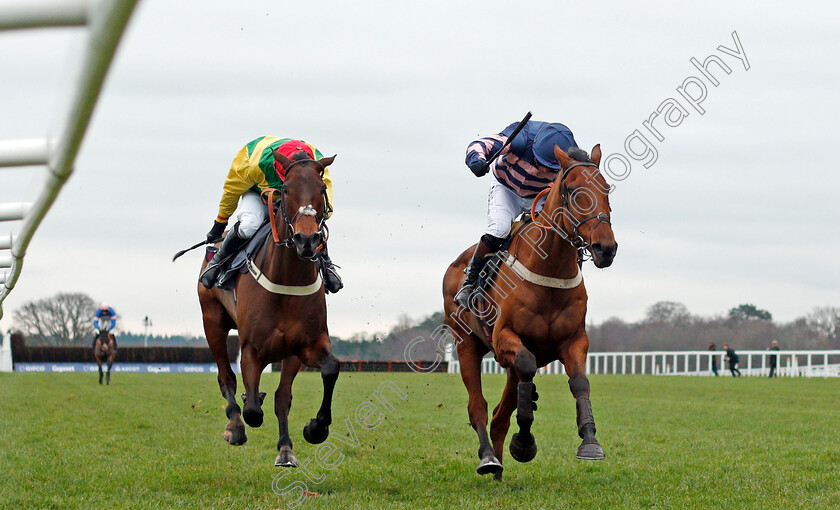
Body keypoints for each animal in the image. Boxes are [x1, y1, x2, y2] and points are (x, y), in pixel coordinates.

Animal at [199, 148, 340, 466]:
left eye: (322, 188)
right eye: (286, 189)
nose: (307, 240)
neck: (287, 281)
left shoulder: (305, 345)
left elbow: (328, 370)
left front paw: (314, 429)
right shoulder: (252, 348)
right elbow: (252, 408)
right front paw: (245, 414)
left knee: (280, 395)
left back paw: (285, 447)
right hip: (212, 319)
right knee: (226, 378)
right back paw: (234, 426)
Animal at [446, 143, 616, 478]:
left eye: (606, 188)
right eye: (573, 189)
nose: (606, 248)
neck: (549, 269)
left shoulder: (574, 340)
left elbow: (580, 383)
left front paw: (590, 441)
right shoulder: (505, 339)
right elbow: (526, 370)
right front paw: (524, 442)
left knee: (500, 415)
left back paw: (498, 470)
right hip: (465, 343)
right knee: (478, 408)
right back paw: (489, 458)